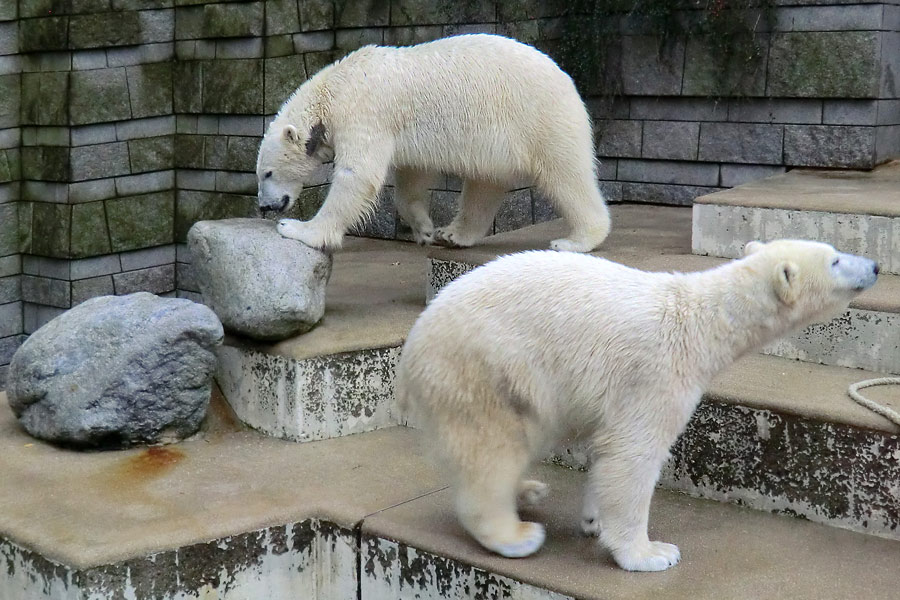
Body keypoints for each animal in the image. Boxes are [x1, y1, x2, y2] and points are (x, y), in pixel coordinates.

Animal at [256, 33, 616, 253]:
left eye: (267, 173)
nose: (265, 207)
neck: (333, 91)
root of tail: (566, 78)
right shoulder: (402, 136)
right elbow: (411, 178)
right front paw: (425, 230)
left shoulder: (366, 114)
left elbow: (357, 177)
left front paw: (299, 229)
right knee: (485, 184)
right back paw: (453, 234)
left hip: (540, 118)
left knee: (566, 175)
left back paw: (574, 241)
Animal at [396, 240, 880, 572]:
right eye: (835, 260)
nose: (875, 265)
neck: (702, 321)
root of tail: (414, 343)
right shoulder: (657, 374)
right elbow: (633, 453)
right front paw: (650, 553)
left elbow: (606, 452)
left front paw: (593, 518)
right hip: (483, 370)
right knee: (491, 449)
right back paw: (516, 534)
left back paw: (529, 490)